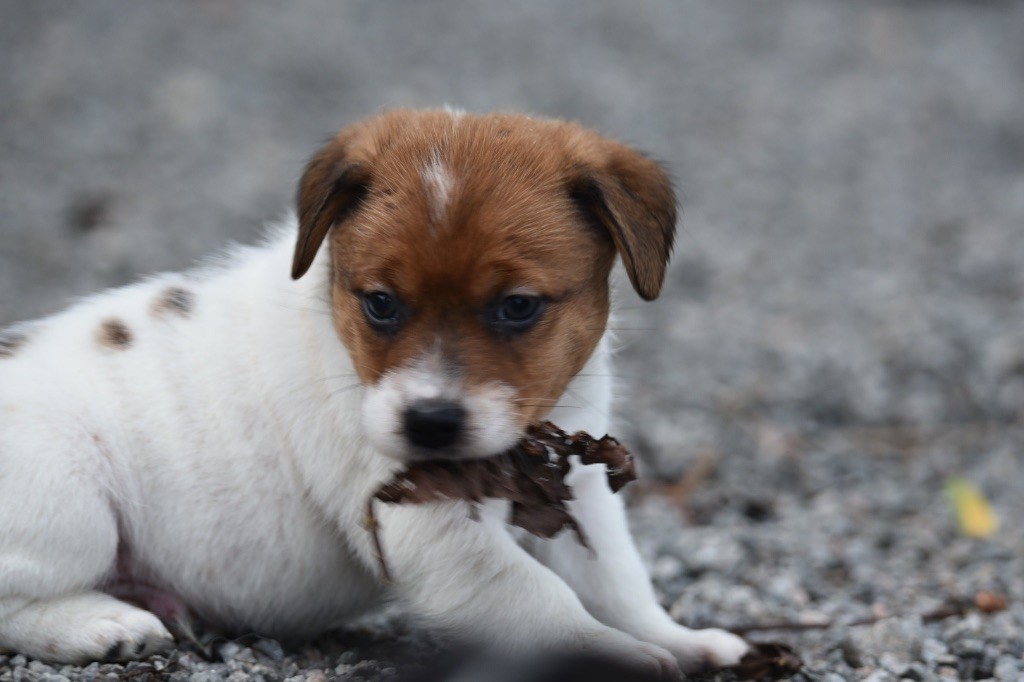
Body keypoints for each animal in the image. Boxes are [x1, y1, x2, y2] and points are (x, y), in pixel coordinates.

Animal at [2, 109, 753, 671]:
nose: (430, 422)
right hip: (71, 503)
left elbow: (618, 581)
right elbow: (541, 598)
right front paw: (613, 653)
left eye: (517, 307)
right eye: (382, 303)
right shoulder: (432, 530)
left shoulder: (579, 494)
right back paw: (103, 625)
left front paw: (676, 640)